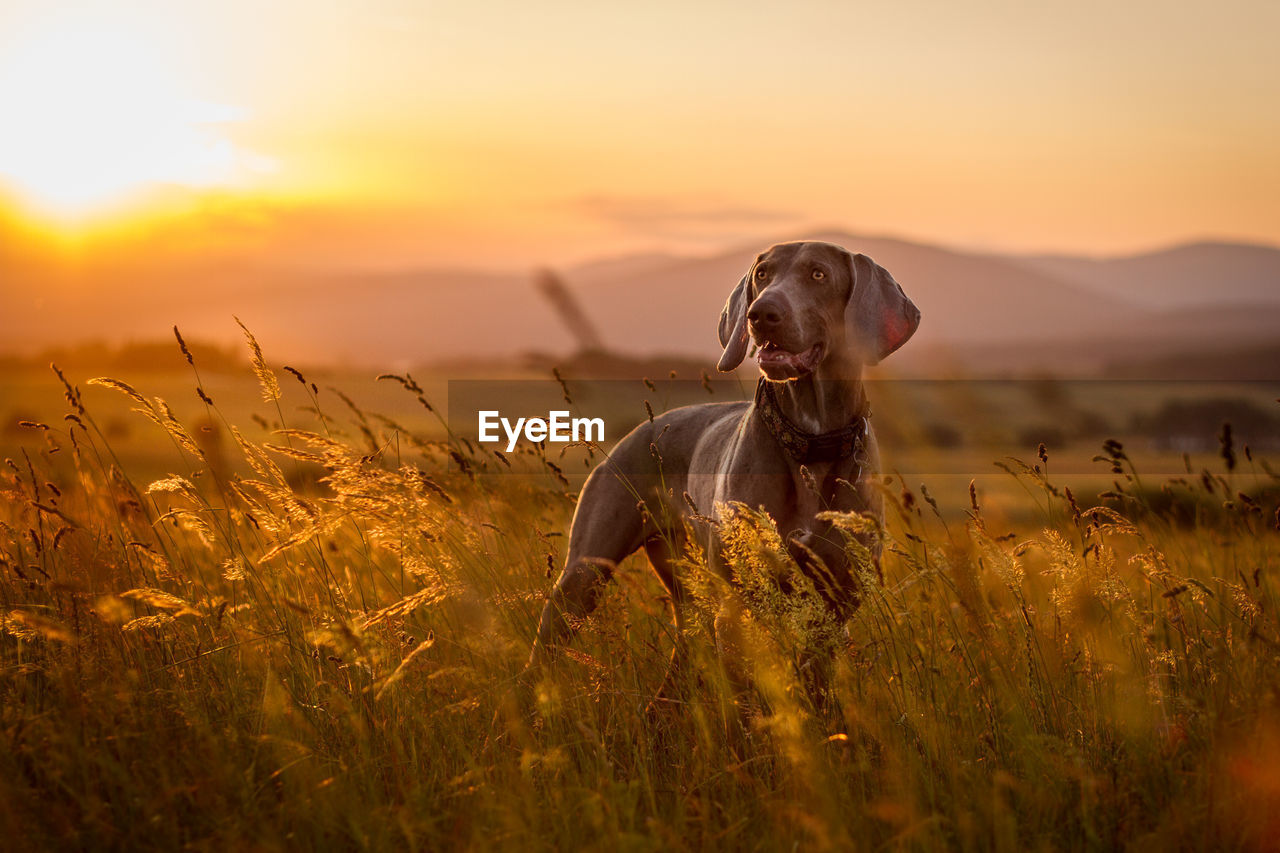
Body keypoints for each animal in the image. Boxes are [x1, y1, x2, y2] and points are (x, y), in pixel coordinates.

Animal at [522, 236, 921, 701]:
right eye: (762, 274)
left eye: (818, 274)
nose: (761, 314)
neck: (810, 439)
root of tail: (641, 430)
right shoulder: (737, 605)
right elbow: (745, 704)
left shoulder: (833, 606)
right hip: (583, 577)